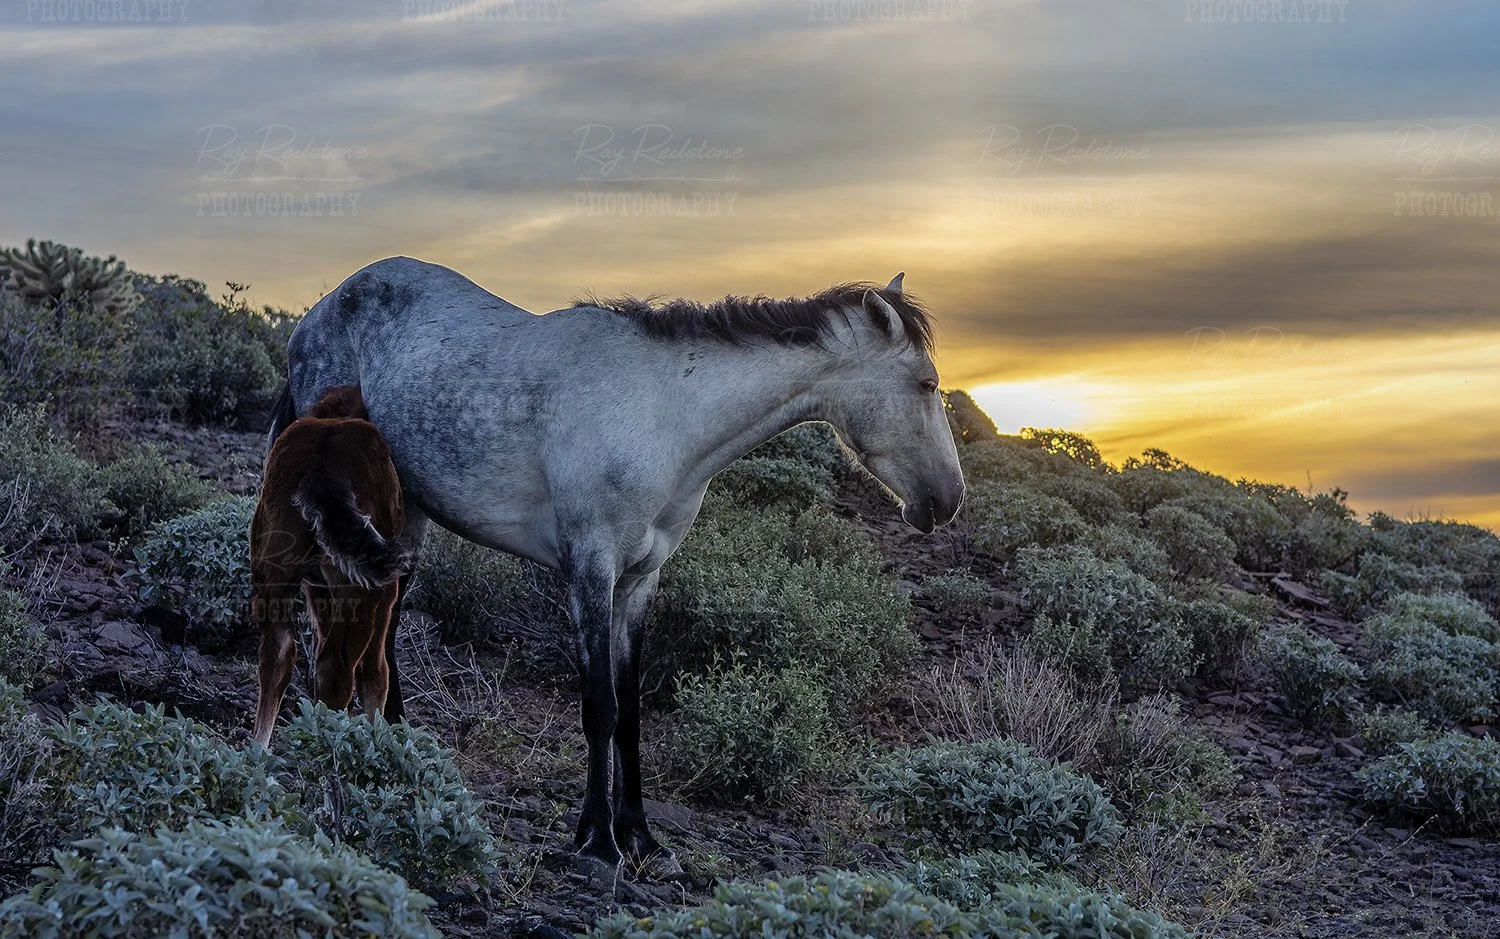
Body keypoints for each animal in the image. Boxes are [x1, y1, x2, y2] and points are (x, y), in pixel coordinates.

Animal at [251, 384, 413, 747]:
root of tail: (321, 470)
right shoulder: (380, 589)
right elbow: (376, 667)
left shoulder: (318, 586)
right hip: (363, 590)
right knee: (340, 666)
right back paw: (329, 737)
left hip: (271, 569)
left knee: (279, 650)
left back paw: (258, 750)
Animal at [268, 257, 965, 879]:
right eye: (927, 384)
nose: (948, 500)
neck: (665, 419)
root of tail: (320, 312)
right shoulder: (591, 570)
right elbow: (599, 706)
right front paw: (600, 842)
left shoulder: (639, 581)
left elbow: (629, 711)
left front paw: (642, 838)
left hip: (407, 515)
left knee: (384, 630)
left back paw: (401, 746)